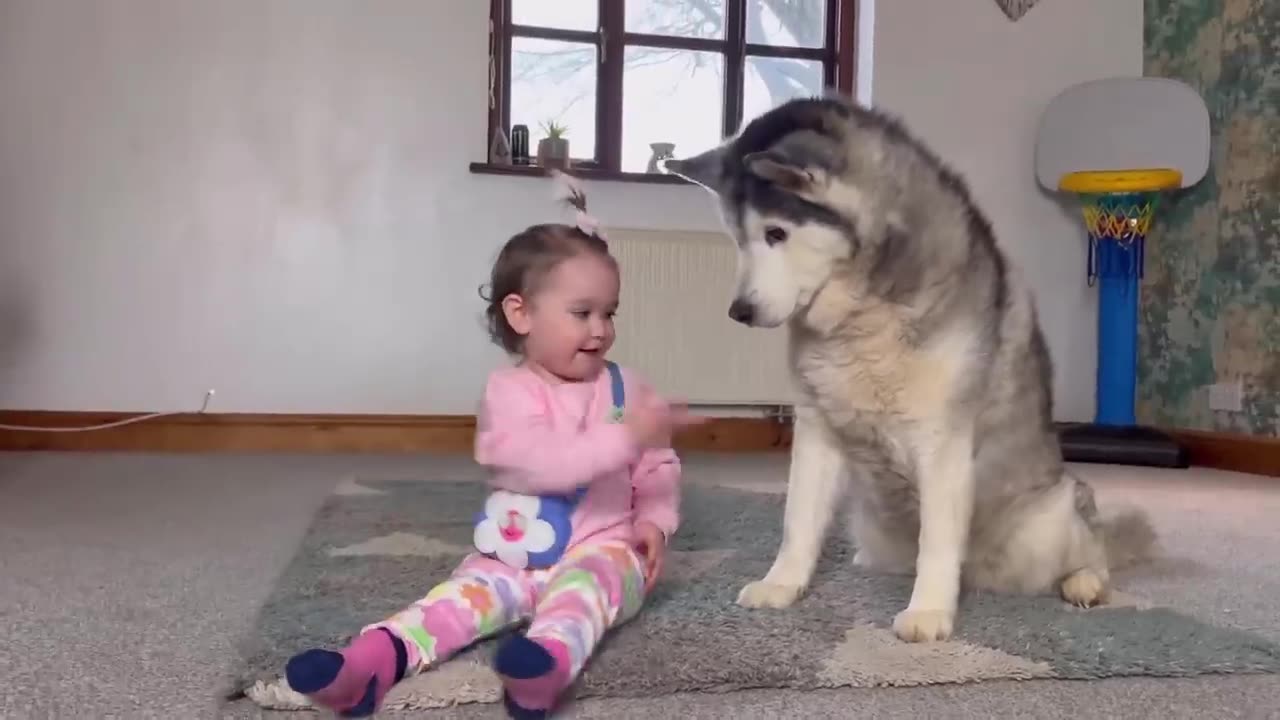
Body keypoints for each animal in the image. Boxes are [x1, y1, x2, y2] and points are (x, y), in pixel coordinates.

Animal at [665, 94, 1157, 638]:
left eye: (776, 233)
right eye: (738, 238)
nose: (740, 312)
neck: (861, 314)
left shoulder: (941, 441)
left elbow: (937, 540)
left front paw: (928, 611)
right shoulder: (817, 429)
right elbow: (798, 521)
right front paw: (783, 584)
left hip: (1050, 519)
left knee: (1092, 548)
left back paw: (1085, 581)